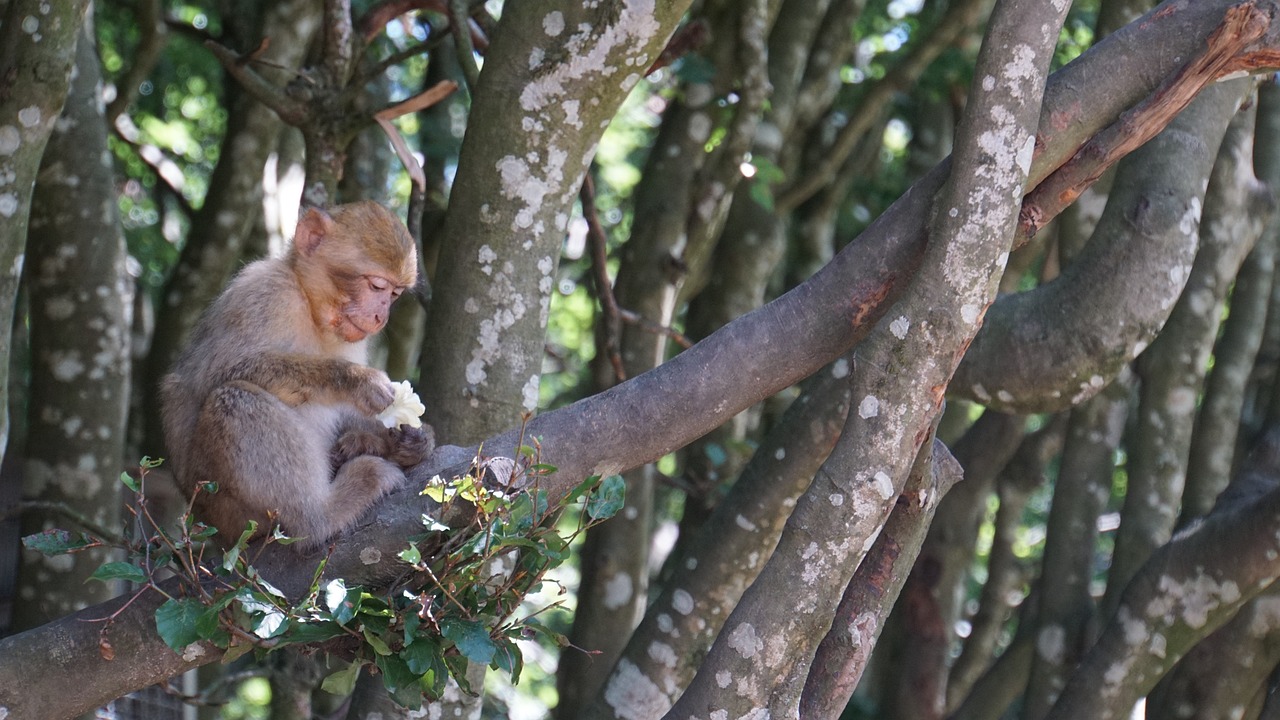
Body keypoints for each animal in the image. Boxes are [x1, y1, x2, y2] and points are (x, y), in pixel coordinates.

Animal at [162, 202, 432, 548]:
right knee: (234, 398)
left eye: (395, 293)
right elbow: (218, 372)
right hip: (226, 506)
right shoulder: (263, 295)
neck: (310, 305)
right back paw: (322, 514)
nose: (380, 316)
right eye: (376, 286)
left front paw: (409, 440)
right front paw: (356, 380)